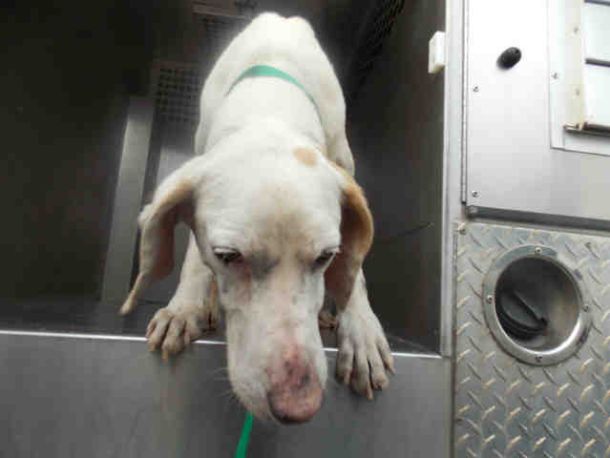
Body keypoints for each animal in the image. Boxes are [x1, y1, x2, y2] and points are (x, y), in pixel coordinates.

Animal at [120, 12, 393, 423]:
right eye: (228, 256)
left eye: (326, 256)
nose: (299, 407)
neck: (269, 107)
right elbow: (195, 258)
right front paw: (184, 307)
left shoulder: (345, 168)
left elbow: (353, 270)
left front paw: (360, 329)